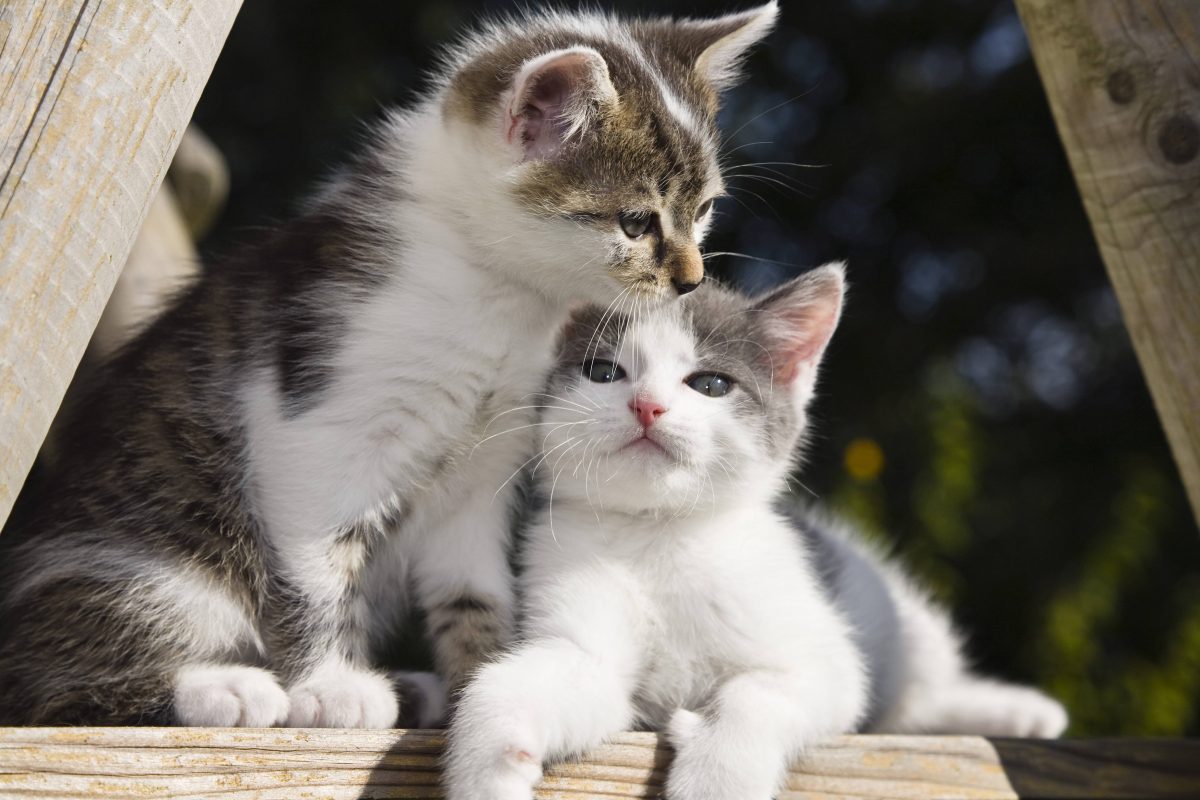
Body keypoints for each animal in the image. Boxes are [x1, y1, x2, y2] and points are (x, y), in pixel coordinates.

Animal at [0, 4, 777, 724]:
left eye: (703, 209)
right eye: (636, 222)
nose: (690, 279)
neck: (504, 296)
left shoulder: (484, 468)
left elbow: (473, 589)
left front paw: (483, 682)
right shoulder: (313, 428)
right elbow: (317, 569)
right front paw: (331, 686)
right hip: (146, 571)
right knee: (48, 685)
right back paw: (225, 688)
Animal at [446, 267, 1065, 800]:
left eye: (711, 384)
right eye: (602, 372)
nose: (647, 406)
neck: (658, 534)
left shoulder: (825, 662)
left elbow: (761, 690)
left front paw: (717, 778)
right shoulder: (580, 643)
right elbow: (512, 683)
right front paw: (485, 769)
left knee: (916, 697)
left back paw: (1020, 712)